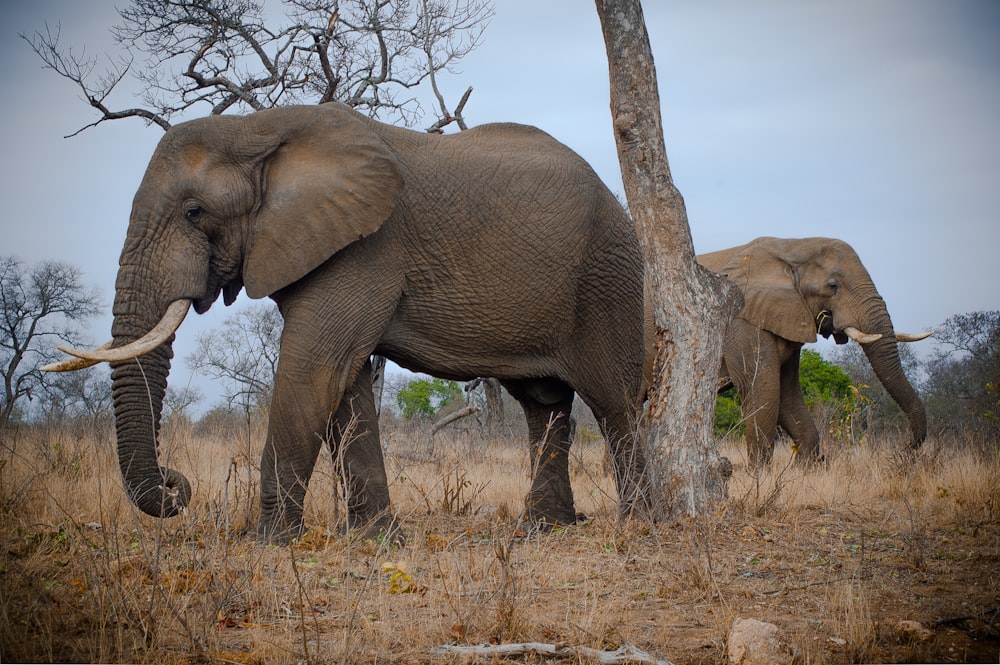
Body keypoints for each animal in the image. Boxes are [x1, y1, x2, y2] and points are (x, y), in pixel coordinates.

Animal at [50, 102, 648, 540]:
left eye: (194, 213)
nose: (177, 485)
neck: (256, 129)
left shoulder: (364, 248)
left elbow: (313, 365)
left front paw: (269, 543)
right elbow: (344, 382)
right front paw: (374, 539)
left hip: (609, 277)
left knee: (614, 402)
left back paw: (640, 522)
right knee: (543, 404)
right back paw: (544, 530)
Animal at [696, 237, 928, 466]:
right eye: (832, 286)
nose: (906, 447)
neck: (791, 246)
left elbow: (787, 394)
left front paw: (803, 467)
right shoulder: (743, 322)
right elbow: (761, 388)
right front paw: (758, 472)